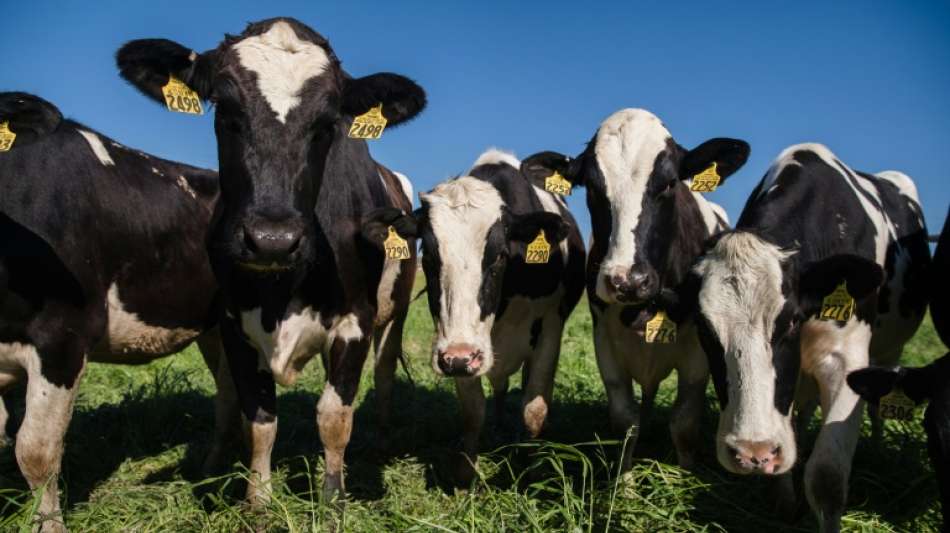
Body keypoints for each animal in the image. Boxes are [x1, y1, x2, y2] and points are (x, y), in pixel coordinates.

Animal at [115, 17, 425, 502]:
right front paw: (257, 501)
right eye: (224, 109)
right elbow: (258, 419)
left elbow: (334, 416)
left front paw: (332, 499)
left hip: (393, 316)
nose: (272, 240)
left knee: (385, 374)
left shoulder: (355, 320)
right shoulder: (233, 323)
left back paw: (379, 441)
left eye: (328, 122)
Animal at [364, 149, 586, 483]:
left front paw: (532, 469)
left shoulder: (551, 327)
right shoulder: (458, 345)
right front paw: (466, 475)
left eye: (500, 255)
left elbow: (534, 409)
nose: (457, 358)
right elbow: (473, 411)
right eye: (428, 257)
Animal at [519, 108, 749, 470]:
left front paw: (685, 475)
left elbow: (684, 424)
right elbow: (626, 421)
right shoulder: (604, 342)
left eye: (669, 183)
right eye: (592, 188)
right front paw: (623, 480)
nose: (627, 280)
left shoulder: (697, 355)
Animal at [691, 143, 931, 532]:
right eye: (704, 327)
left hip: (890, 349)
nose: (752, 452)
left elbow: (827, 477)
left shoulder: (847, 360)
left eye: (790, 322)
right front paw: (786, 503)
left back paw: (878, 448)